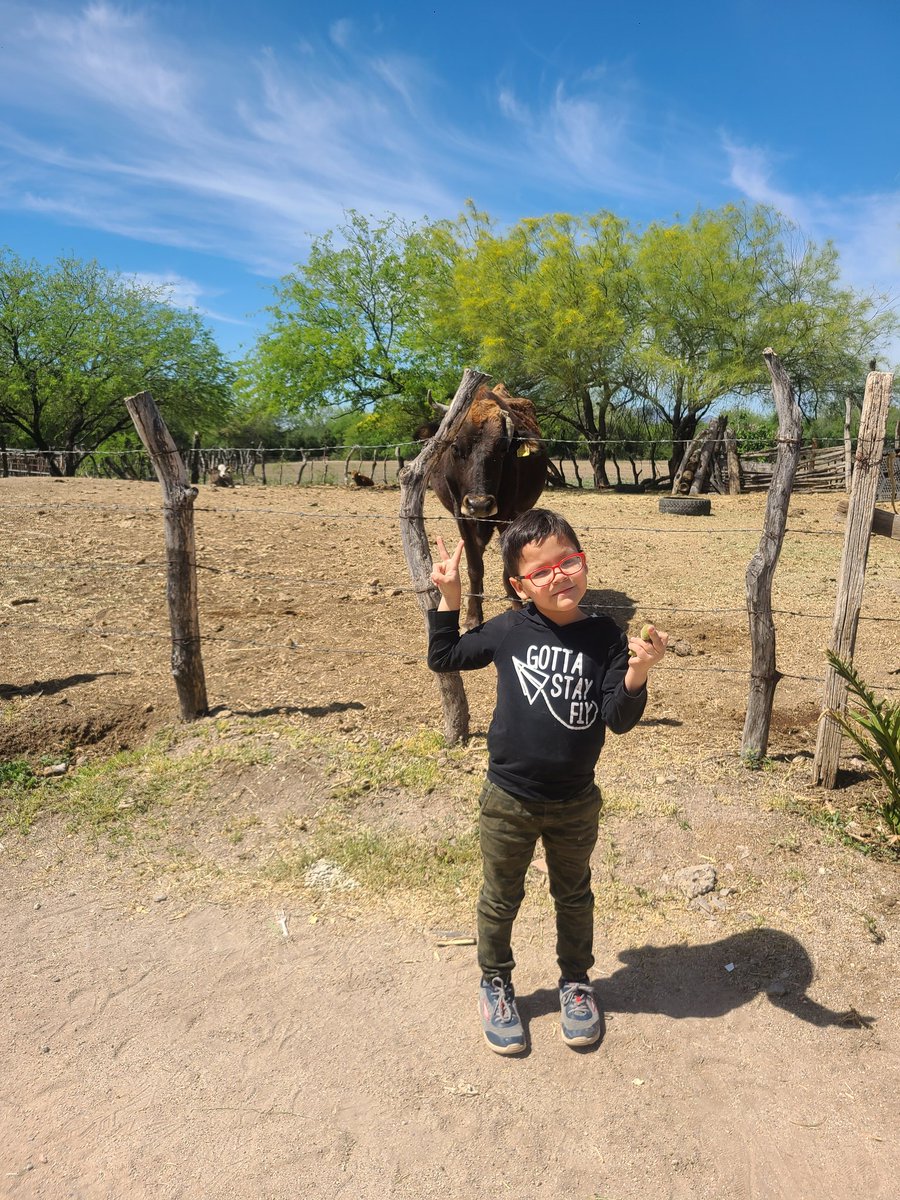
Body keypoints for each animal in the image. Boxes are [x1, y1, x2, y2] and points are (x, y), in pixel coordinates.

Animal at [421, 382, 548, 628]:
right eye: (455, 447)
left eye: (502, 449)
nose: (479, 503)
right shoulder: (461, 514)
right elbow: (474, 566)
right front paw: (472, 615)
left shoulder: (507, 515)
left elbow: (508, 566)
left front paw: (516, 603)